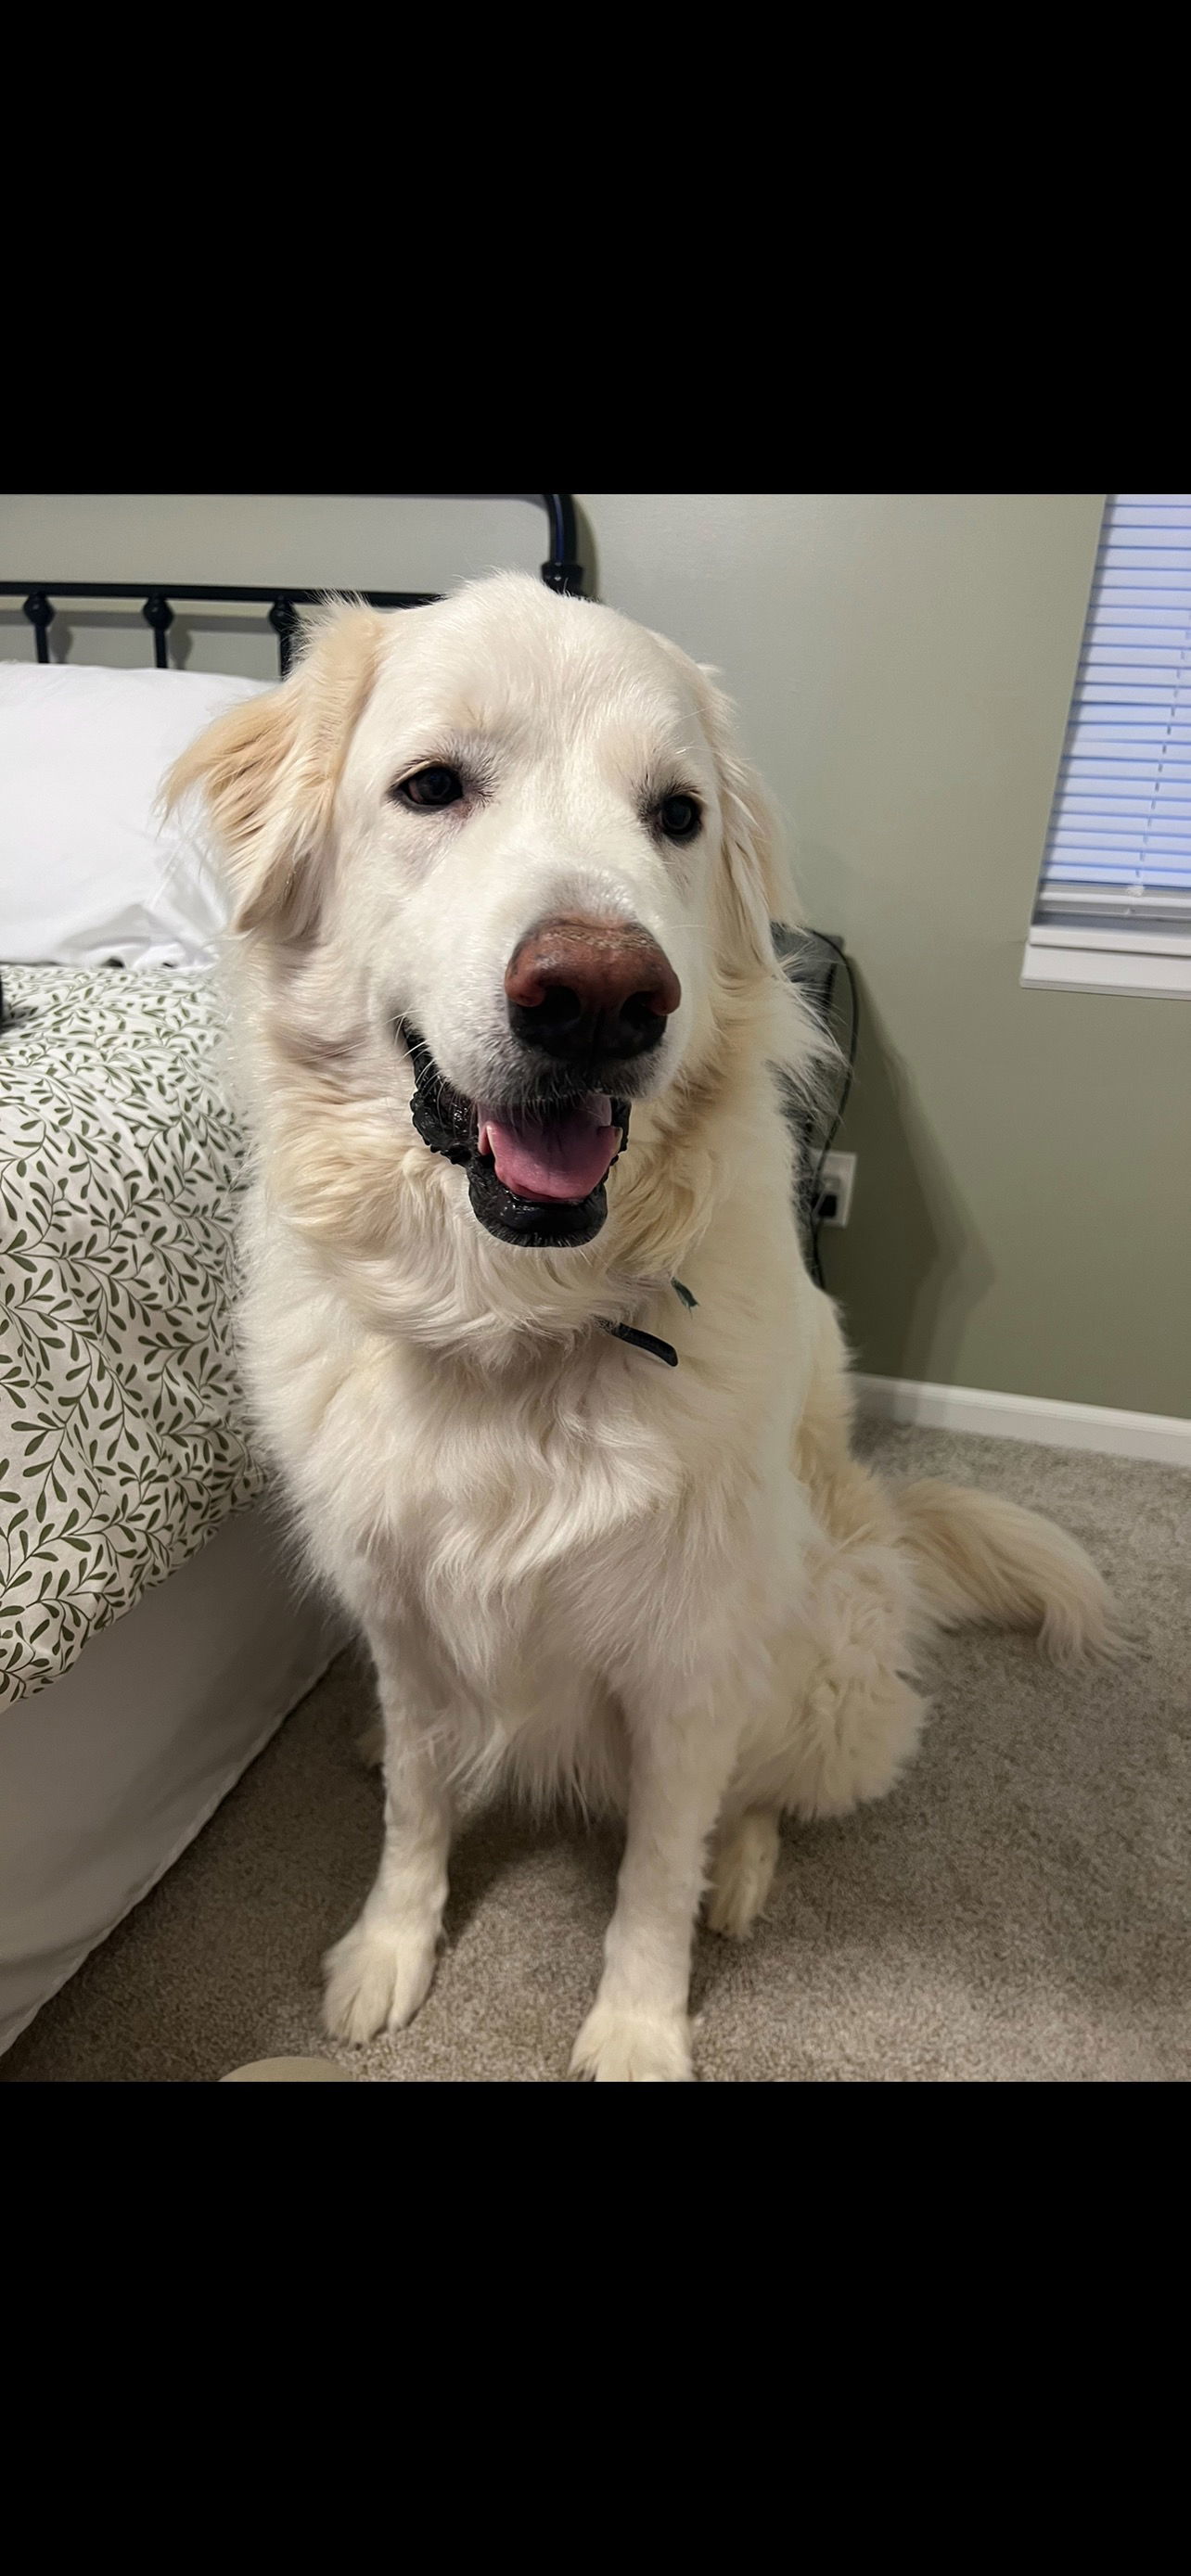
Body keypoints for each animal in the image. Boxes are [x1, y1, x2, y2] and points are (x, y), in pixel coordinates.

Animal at [170, 574, 1119, 2081]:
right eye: (431, 786)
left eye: (677, 815)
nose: (604, 996)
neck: (516, 1317)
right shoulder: (402, 1612)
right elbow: (417, 1809)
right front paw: (390, 1943)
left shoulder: (690, 1663)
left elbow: (656, 1868)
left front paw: (634, 2021)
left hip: (820, 1664)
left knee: (761, 1796)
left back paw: (747, 1873)